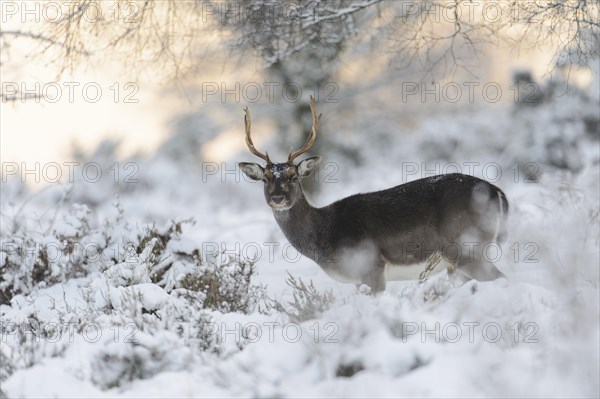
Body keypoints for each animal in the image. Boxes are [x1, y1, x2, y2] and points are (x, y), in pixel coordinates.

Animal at [239, 95, 506, 292]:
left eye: (293, 176)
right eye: (265, 178)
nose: (277, 198)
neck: (326, 235)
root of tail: (498, 193)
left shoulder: (371, 266)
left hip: (466, 247)